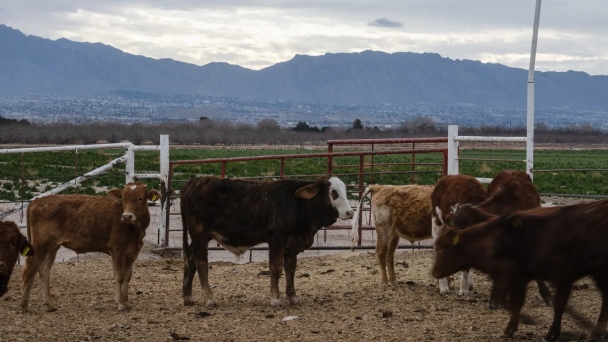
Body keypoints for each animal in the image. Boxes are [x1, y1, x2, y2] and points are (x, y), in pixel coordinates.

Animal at [20, 183, 162, 314]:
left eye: (140, 198)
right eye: (123, 198)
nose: (127, 216)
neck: (134, 230)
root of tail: (37, 201)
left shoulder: (131, 253)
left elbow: (127, 276)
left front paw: (126, 302)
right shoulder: (117, 250)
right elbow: (119, 277)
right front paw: (120, 304)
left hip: (52, 247)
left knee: (44, 271)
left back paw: (50, 304)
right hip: (41, 245)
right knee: (30, 270)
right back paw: (24, 306)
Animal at [178, 175, 354, 306]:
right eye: (333, 192)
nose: (349, 212)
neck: (299, 204)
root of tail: (192, 183)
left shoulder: (291, 246)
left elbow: (290, 270)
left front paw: (293, 298)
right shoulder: (277, 240)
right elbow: (276, 269)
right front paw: (275, 299)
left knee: (190, 260)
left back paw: (188, 297)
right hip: (199, 234)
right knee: (201, 263)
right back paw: (209, 298)